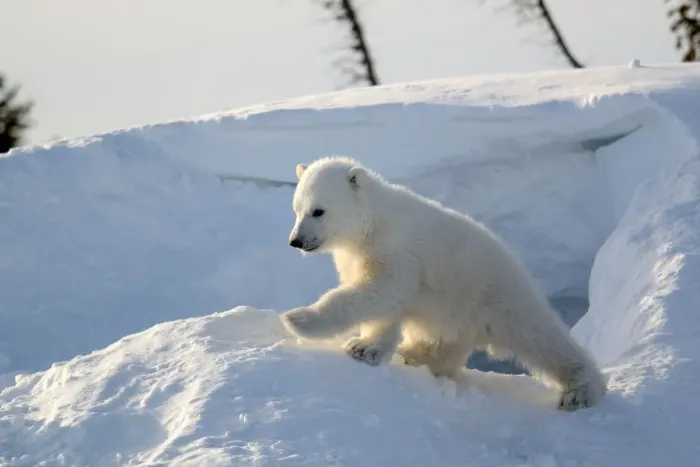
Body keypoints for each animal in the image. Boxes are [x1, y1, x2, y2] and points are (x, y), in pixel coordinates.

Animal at [280, 155, 607, 411]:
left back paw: (580, 391)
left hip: (496, 294)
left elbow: (381, 292)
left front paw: (298, 319)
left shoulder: (396, 251)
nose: (295, 241)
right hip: (458, 314)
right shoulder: (358, 256)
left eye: (318, 210)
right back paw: (413, 354)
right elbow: (381, 302)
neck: (372, 225)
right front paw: (367, 347)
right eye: (296, 209)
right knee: (442, 344)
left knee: (541, 337)